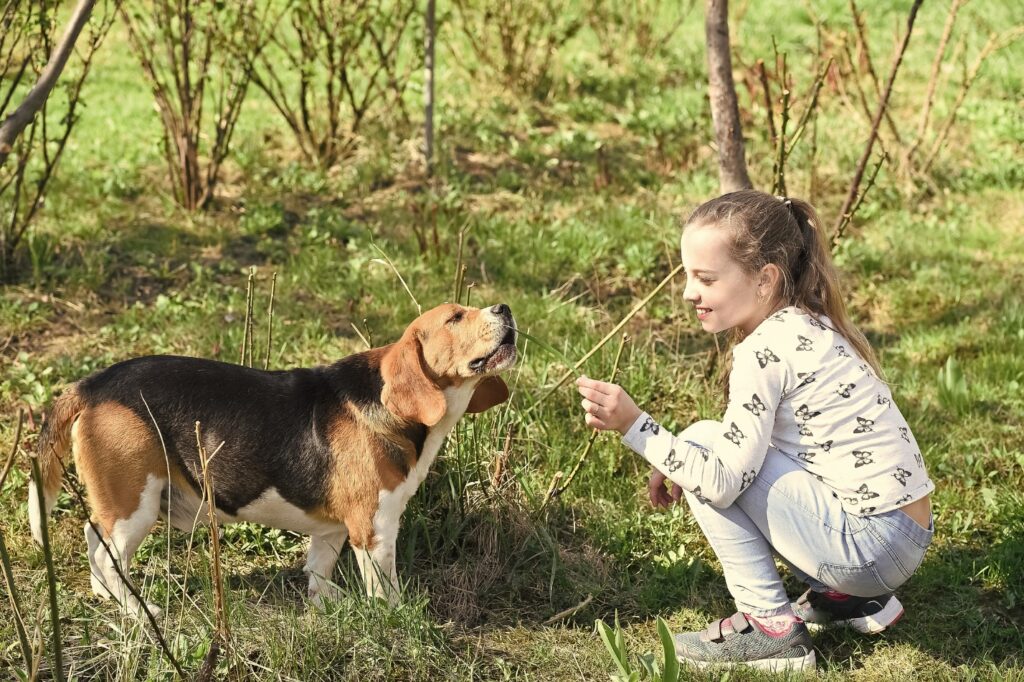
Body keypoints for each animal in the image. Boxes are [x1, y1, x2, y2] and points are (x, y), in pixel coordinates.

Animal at [32, 301, 520, 610]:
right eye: (455, 316)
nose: (505, 309)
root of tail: (92, 384)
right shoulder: (376, 527)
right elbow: (385, 585)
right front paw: (395, 617)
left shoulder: (334, 528)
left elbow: (319, 567)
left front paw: (327, 603)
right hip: (136, 502)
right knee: (105, 555)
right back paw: (138, 611)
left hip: (128, 504)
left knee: (94, 539)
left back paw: (108, 597)